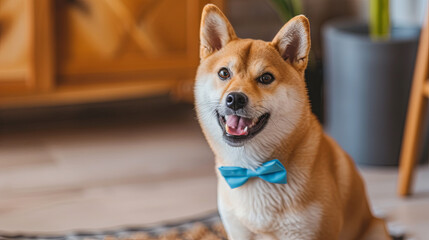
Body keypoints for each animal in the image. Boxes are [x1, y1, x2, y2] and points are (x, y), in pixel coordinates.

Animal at [194, 3, 392, 240]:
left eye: (266, 78)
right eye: (224, 73)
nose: (235, 99)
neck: (254, 170)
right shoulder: (238, 231)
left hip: (375, 229)